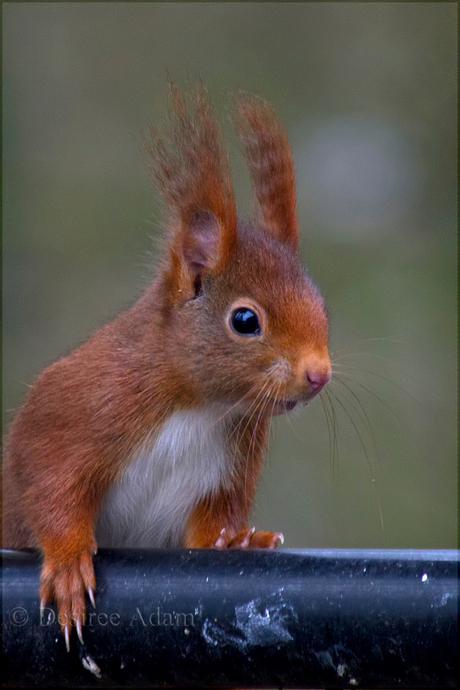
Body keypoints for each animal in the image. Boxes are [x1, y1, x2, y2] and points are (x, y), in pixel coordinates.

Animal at [0, 83, 330, 648]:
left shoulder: (224, 472)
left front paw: (237, 541)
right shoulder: (81, 406)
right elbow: (48, 481)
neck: (199, 404)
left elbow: (206, 529)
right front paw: (67, 566)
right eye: (245, 320)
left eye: (321, 303)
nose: (319, 373)